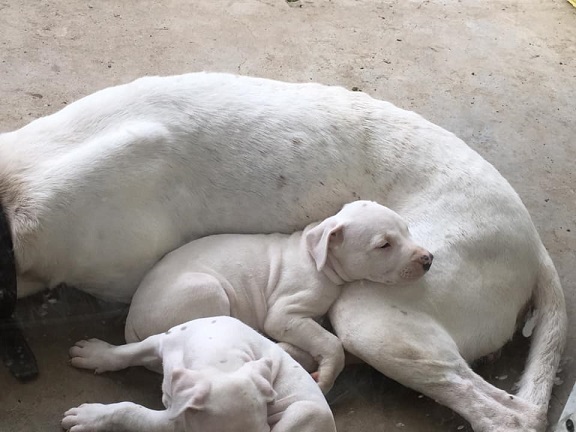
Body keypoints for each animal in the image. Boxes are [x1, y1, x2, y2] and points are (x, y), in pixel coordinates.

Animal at [63, 316, 336, 432]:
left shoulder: (173, 422)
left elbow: (130, 411)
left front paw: (89, 417)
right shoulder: (165, 339)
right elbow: (129, 351)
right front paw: (97, 354)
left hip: (307, 412)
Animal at [125, 200, 433, 393]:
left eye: (406, 230)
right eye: (384, 245)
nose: (428, 259)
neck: (317, 256)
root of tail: (131, 323)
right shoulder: (285, 314)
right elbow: (331, 343)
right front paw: (326, 376)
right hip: (209, 292)